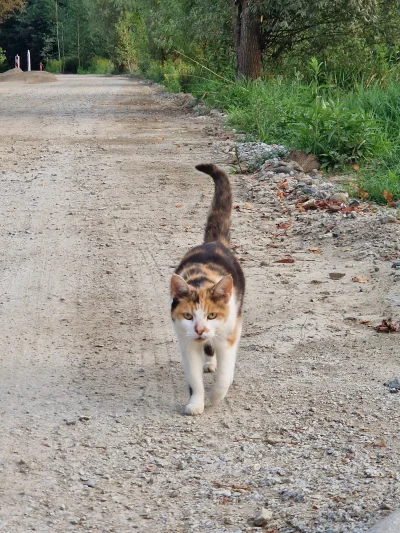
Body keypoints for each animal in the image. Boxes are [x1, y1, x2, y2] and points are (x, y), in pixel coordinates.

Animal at [169, 164, 244, 414]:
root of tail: (214, 243)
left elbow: (225, 373)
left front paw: (217, 396)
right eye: (188, 316)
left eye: (212, 315)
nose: (200, 329)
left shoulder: (229, 334)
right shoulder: (186, 342)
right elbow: (193, 377)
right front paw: (196, 403)